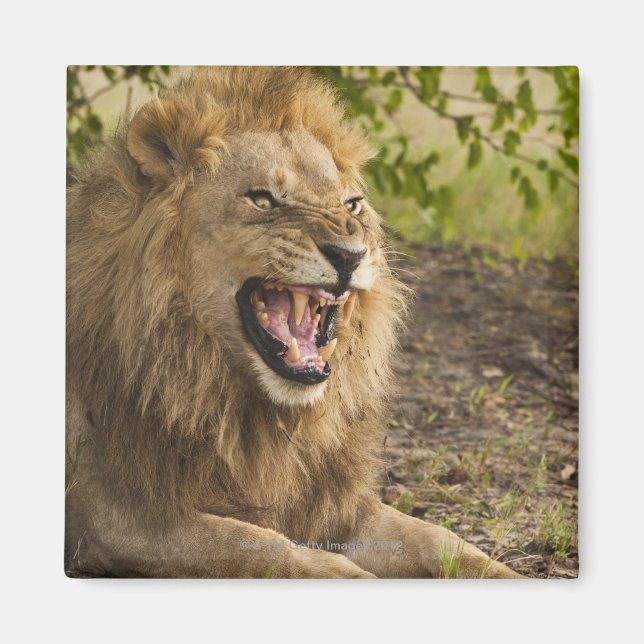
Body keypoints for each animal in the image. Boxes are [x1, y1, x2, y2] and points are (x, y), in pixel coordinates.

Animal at [65, 66, 522, 578]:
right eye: (263, 200)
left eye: (352, 205)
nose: (350, 255)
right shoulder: (115, 514)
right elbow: (258, 546)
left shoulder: (334, 503)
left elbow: (438, 540)